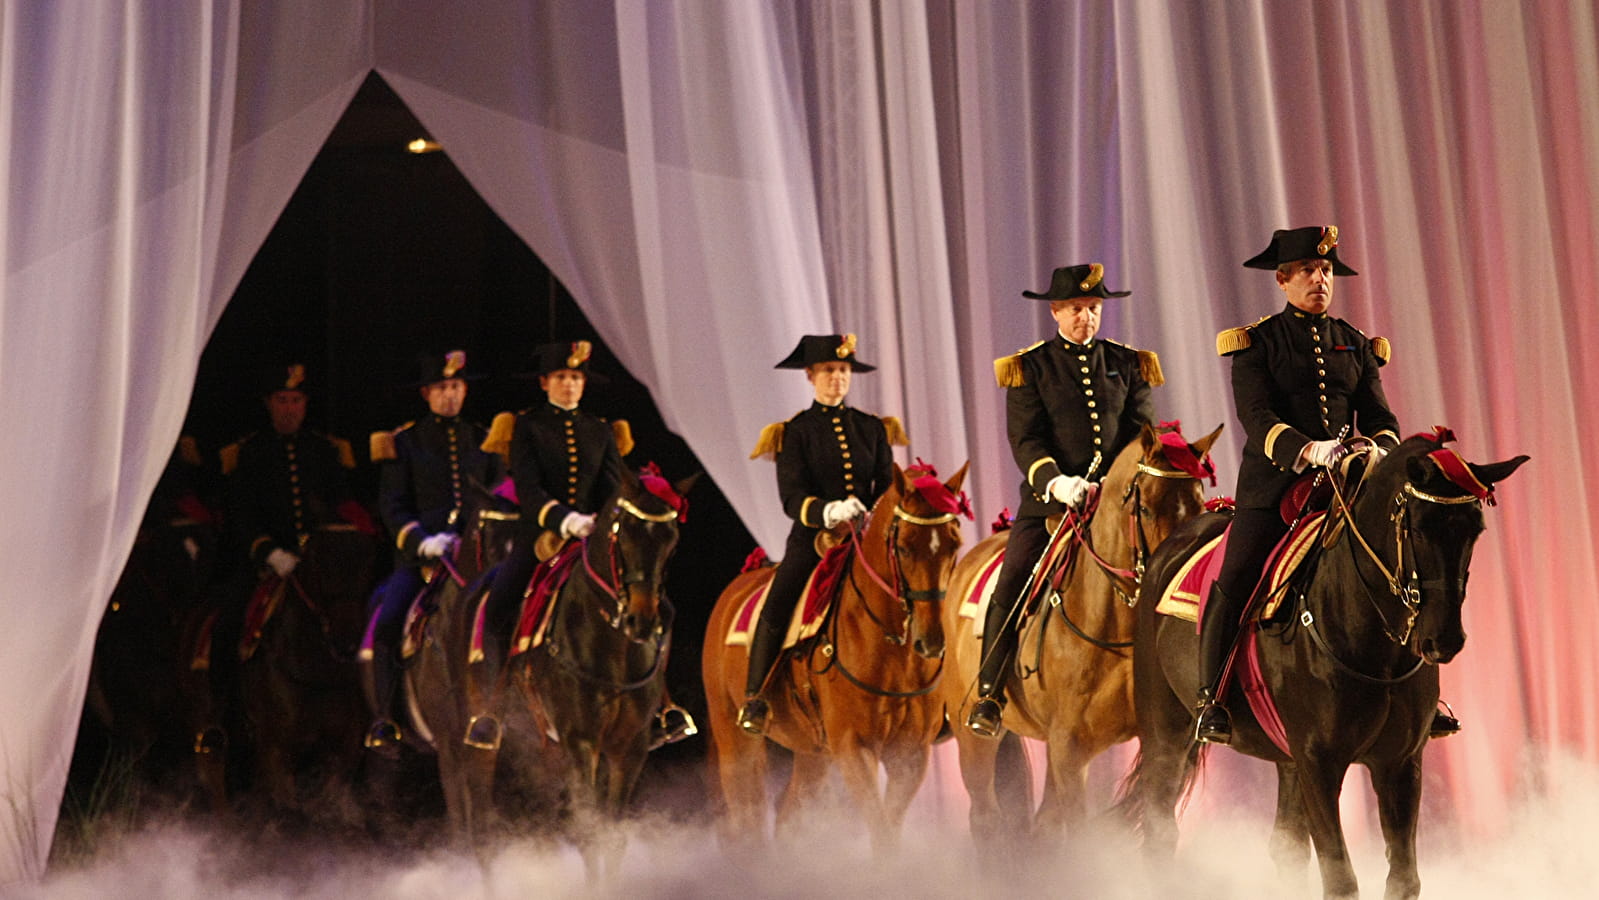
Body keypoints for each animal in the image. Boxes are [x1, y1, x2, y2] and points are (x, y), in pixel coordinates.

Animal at [703, 463, 972, 850]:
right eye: (904, 547)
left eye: (954, 544)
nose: (932, 641)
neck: (893, 652)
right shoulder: (852, 747)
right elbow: (881, 831)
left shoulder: (910, 754)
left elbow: (890, 829)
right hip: (736, 743)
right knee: (747, 819)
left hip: (813, 754)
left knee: (787, 816)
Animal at [940, 425, 1215, 850]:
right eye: (1146, 508)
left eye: (1200, 505)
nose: (1171, 572)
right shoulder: (1069, 749)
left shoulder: (1156, 736)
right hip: (973, 737)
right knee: (985, 818)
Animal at [1119, 431, 1528, 895]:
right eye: (1419, 527)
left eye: (1475, 530)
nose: (1444, 640)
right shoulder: (1319, 763)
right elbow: (1340, 879)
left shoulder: (1399, 764)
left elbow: (1403, 879)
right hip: (1166, 736)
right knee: (1160, 832)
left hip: (1286, 757)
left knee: (1286, 847)